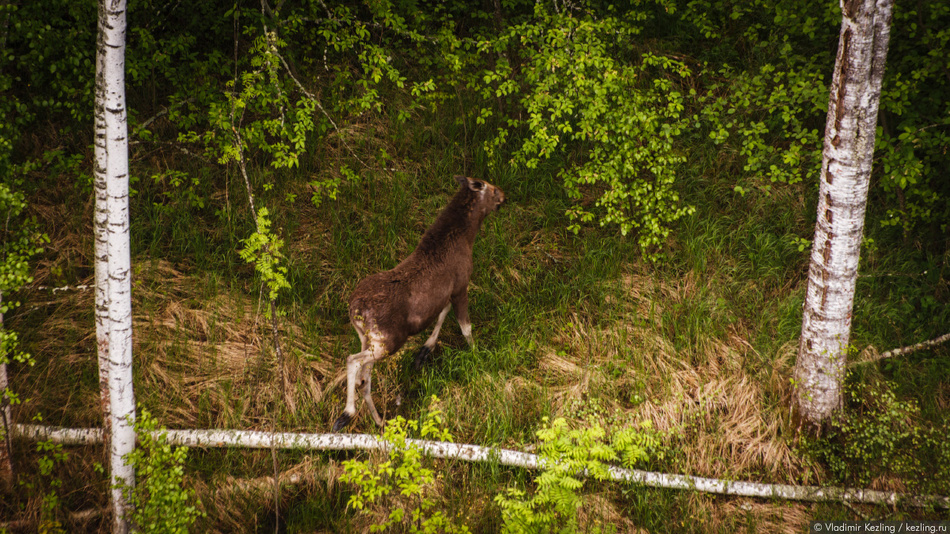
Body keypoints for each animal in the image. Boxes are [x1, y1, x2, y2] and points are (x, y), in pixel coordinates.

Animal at [338, 174, 510, 434]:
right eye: (491, 188)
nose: (503, 196)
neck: (467, 238)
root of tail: (354, 310)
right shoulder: (461, 285)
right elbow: (465, 327)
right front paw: (477, 354)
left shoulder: (445, 294)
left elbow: (442, 315)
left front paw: (425, 351)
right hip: (388, 340)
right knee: (353, 361)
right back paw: (347, 414)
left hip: (367, 338)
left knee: (364, 379)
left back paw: (379, 421)